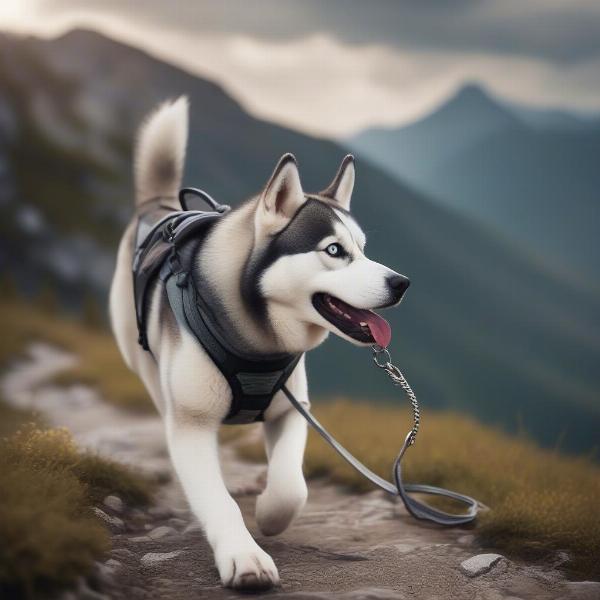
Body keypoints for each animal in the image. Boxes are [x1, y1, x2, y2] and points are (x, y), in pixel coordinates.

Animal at [109, 99, 408, 592]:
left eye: (363, 249)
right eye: (333, 250)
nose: (402, 283)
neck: (257, 344)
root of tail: (159, 207)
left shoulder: (292, 409)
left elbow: (292, 486)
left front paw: (269, 513)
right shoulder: (191, 425)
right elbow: (218, 498)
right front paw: (245, 557)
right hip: (145, 362)